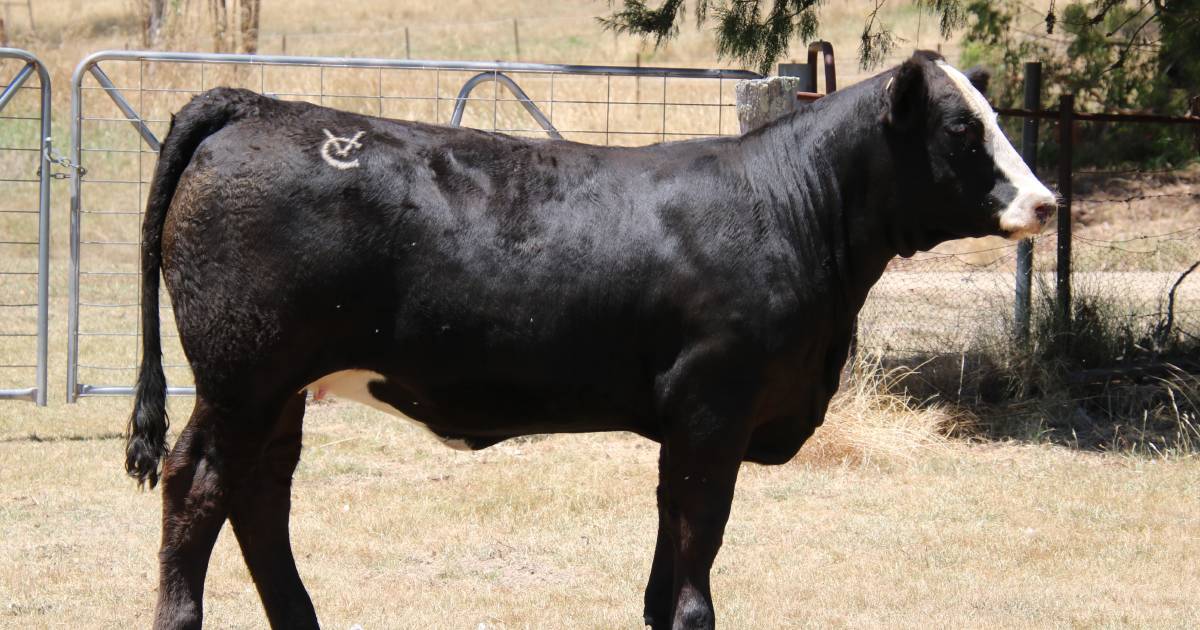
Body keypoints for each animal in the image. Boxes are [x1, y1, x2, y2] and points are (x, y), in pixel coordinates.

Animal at [126, 51, 1056, 624]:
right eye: (962, 129)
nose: (1046, 203)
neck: (789, 206)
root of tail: (258, 105)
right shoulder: (714, 408)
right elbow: (698, 543)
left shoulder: (687, 423)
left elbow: (668, 547)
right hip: (241, 376)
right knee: (198, 484)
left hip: (280, 389)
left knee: (260, 496)